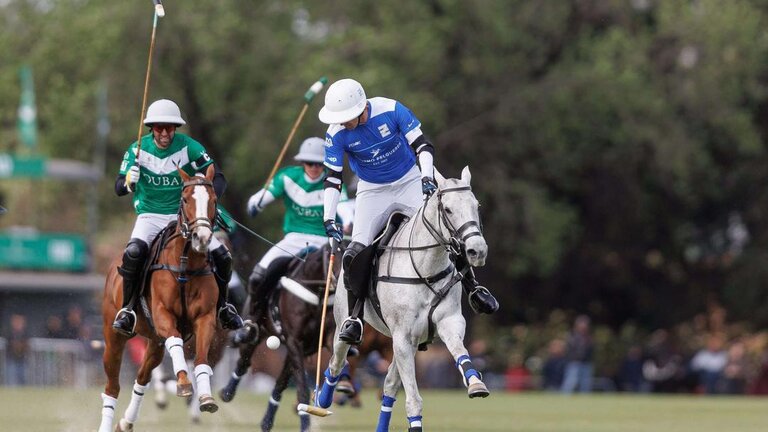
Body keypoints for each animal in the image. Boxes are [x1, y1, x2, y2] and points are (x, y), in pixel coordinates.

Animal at [97, 166, 220, 432]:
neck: (185, 264)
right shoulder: (163, 314)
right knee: (112, 387)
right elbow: (176, 342)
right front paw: (183, 384)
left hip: (154, 341)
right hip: (113, 336)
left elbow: (202, 358)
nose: (202, 238)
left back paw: (126, 422)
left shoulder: (205, 318)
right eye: (185, 199)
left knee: (141, 378)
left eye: (214, 200)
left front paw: (205, 397)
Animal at [316, 166, 488, 432]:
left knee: (388, 383)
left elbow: (460, 351)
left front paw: (475, 384)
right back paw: (323, 399)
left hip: (410, 343)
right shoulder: (402, 336)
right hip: (345, 325)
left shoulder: (447, 322)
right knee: (336, 360)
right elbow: (414, 399)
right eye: (448, 209)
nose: (477, 250)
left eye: (476, 206)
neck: (424, 268)